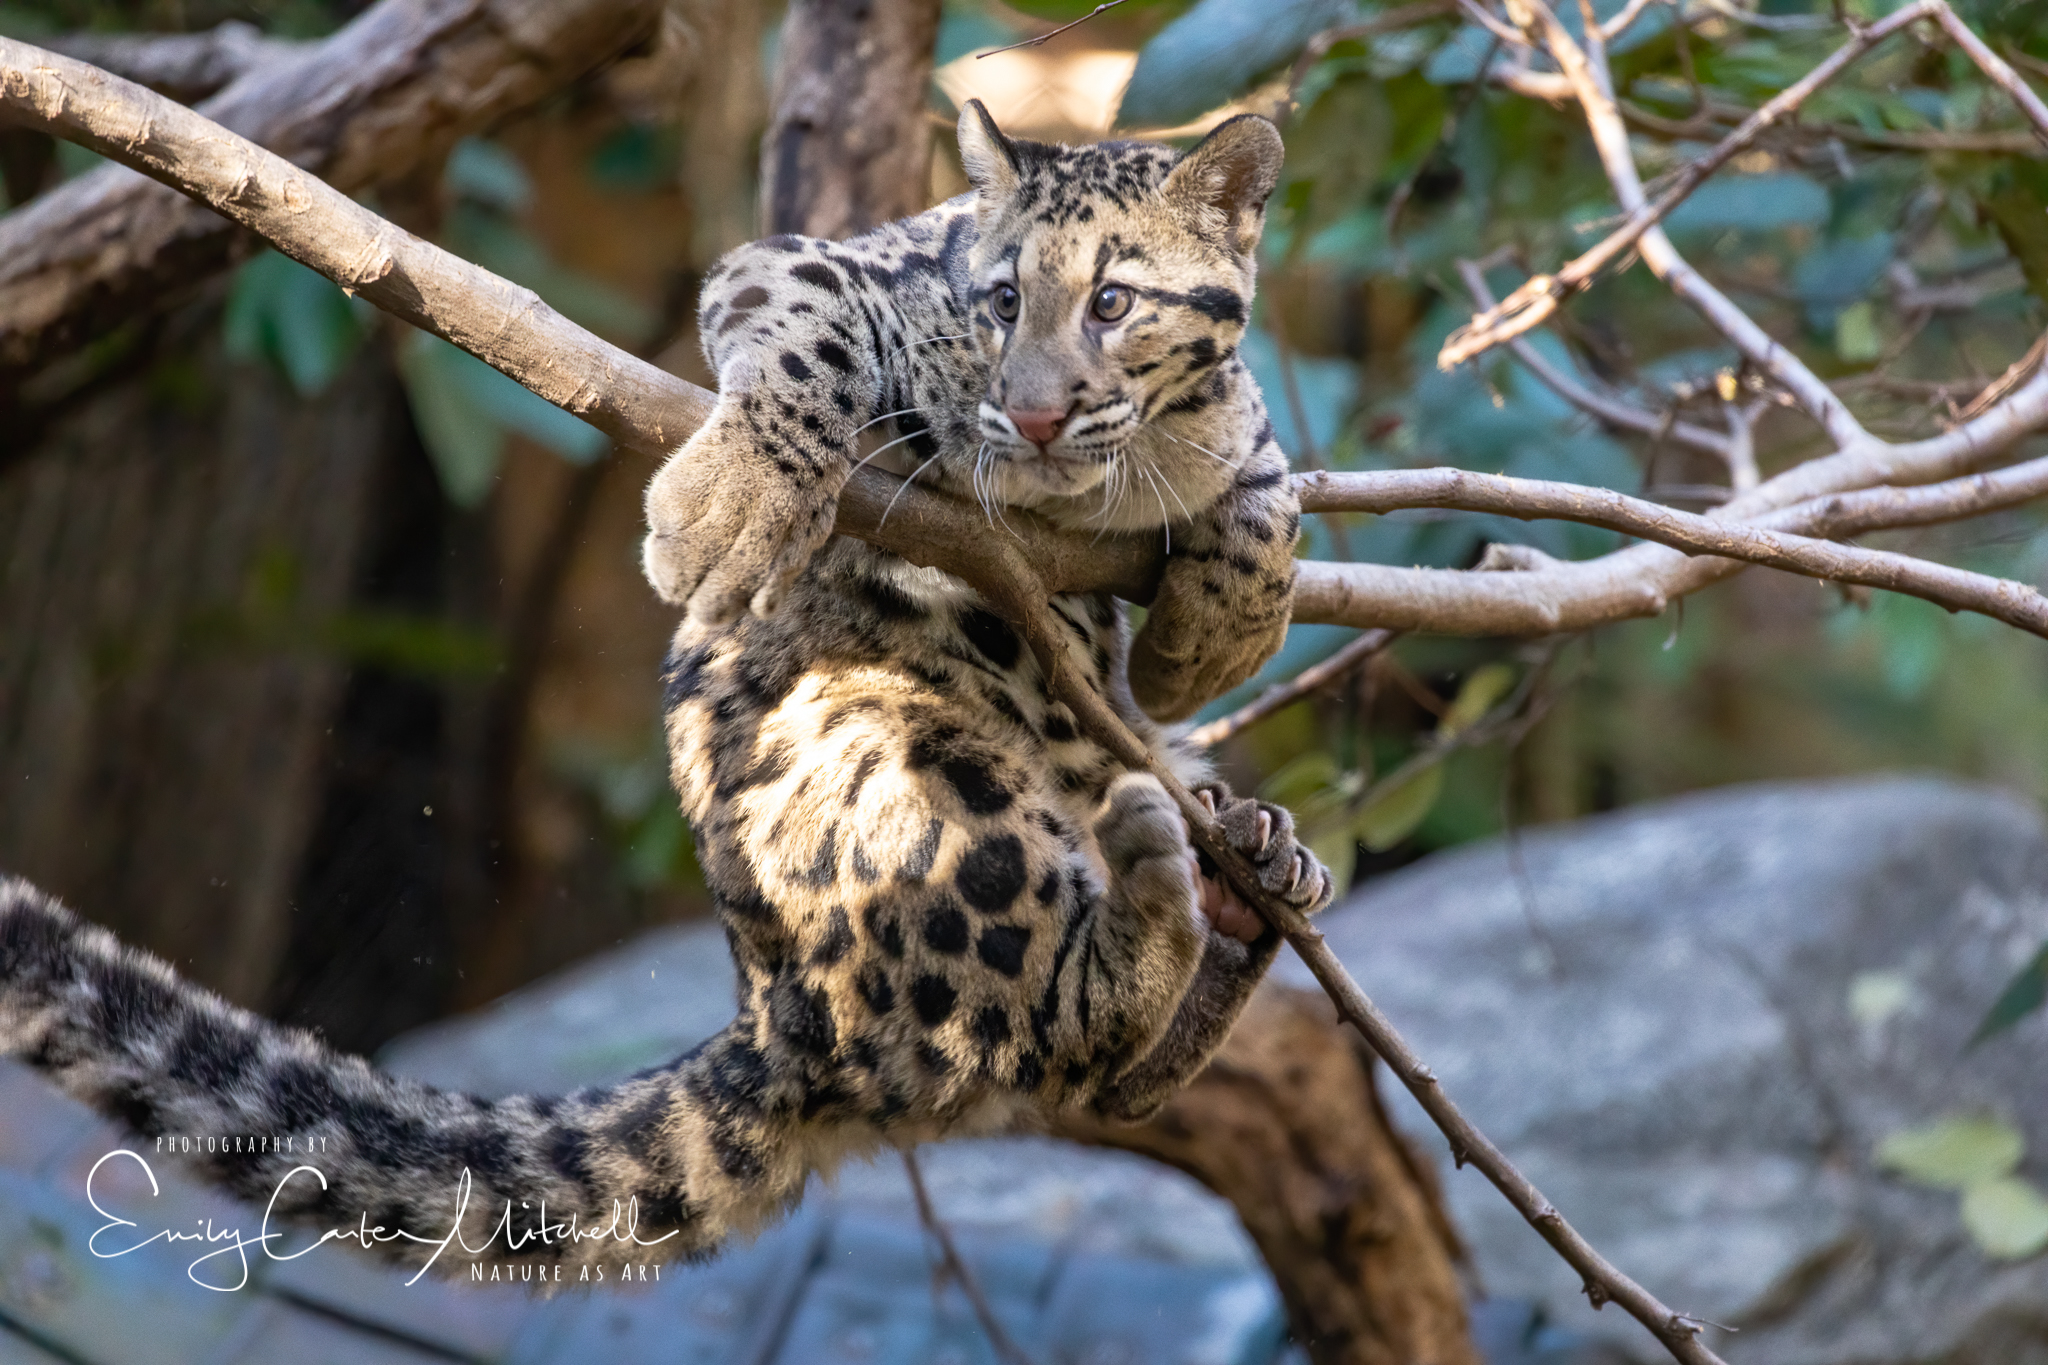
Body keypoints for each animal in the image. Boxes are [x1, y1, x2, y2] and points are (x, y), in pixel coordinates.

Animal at [0, 101, 1333, 1276]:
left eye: (1111, 301)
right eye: (1002, 301)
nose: (1036, 411)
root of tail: (773, 1022)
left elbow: (1265, 468)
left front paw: (1213, 628)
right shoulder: (801, 259)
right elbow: (812, 333)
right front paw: (728, 506)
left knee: (1111, 1074)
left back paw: (1248, 873)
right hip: (900, 765)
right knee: (1051, 1033)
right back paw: (1162, 887)